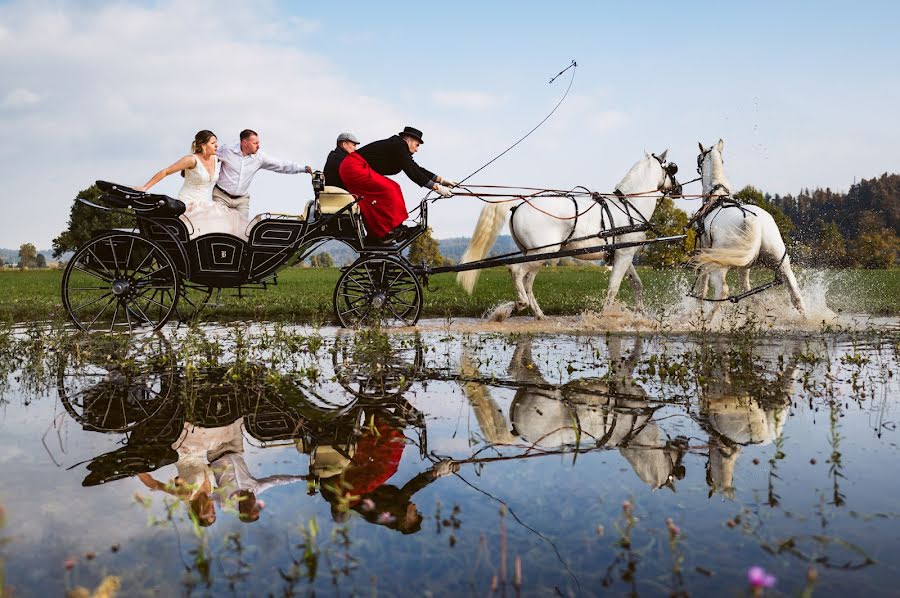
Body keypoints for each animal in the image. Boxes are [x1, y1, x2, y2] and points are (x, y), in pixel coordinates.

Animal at [454, 151, 680, 318]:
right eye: (672, 168)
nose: (678, 189)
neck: (628, 206)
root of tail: (518, 205)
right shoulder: (623, 255)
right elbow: (613, 288)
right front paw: (605, 316)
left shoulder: (624, 255)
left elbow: (637, 284)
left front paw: (641, 314)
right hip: (541, 252)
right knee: (516, 271)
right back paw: (519, 305)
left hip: (537, 255)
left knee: (527, 281)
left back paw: (538, 314)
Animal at [692, 141, 804, 318]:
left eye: (699, 159)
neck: (717, 197)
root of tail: (753, 220)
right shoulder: (744, 266)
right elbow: (746, 287)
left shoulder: (704, 255)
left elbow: (702, 288)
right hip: (781, 262)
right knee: (795, 295)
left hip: (719, 265)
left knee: (723, 290)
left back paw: (708, 320)